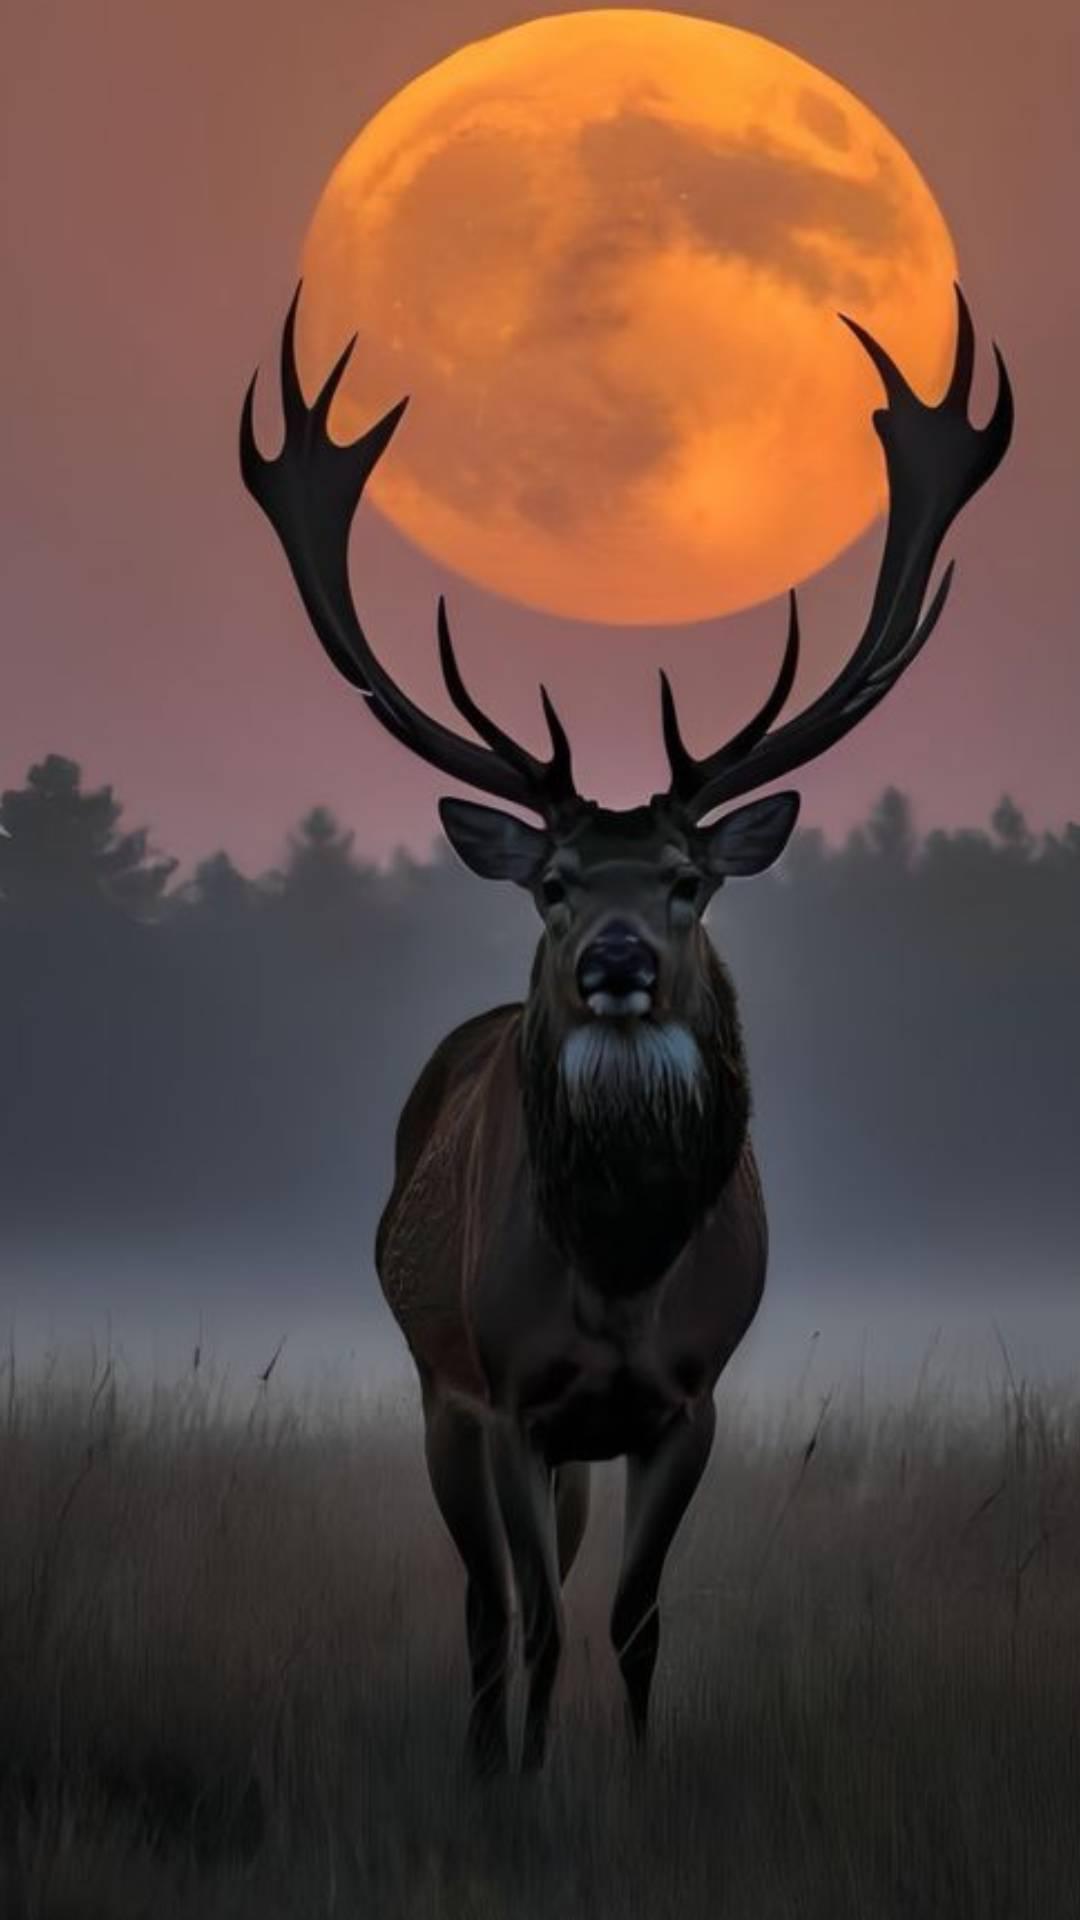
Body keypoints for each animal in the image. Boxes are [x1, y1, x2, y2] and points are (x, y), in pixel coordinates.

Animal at [240, 283, 1012, 1775]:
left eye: (686, 880)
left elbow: (636, 1623)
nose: (614, 962)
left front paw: (640, 1786)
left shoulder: (688, 1398)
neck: (619, 1270)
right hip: (438, 1387)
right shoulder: (504, 1394)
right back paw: (485, 1758)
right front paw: (528, 1789)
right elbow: (538, 1623)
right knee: (486, 1611)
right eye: (552, 883)